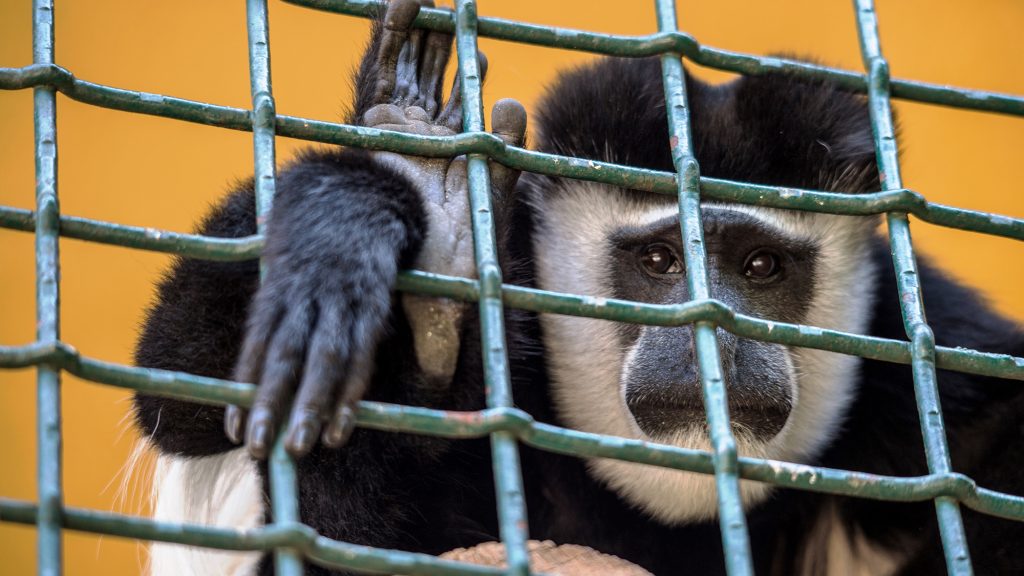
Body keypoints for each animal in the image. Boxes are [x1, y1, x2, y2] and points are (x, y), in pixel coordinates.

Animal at [132, 2, 1024, 569]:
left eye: (760, 268)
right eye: (660, 262)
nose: (715, 347)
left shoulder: (940, 357)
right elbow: (180, 391)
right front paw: (400, 185)